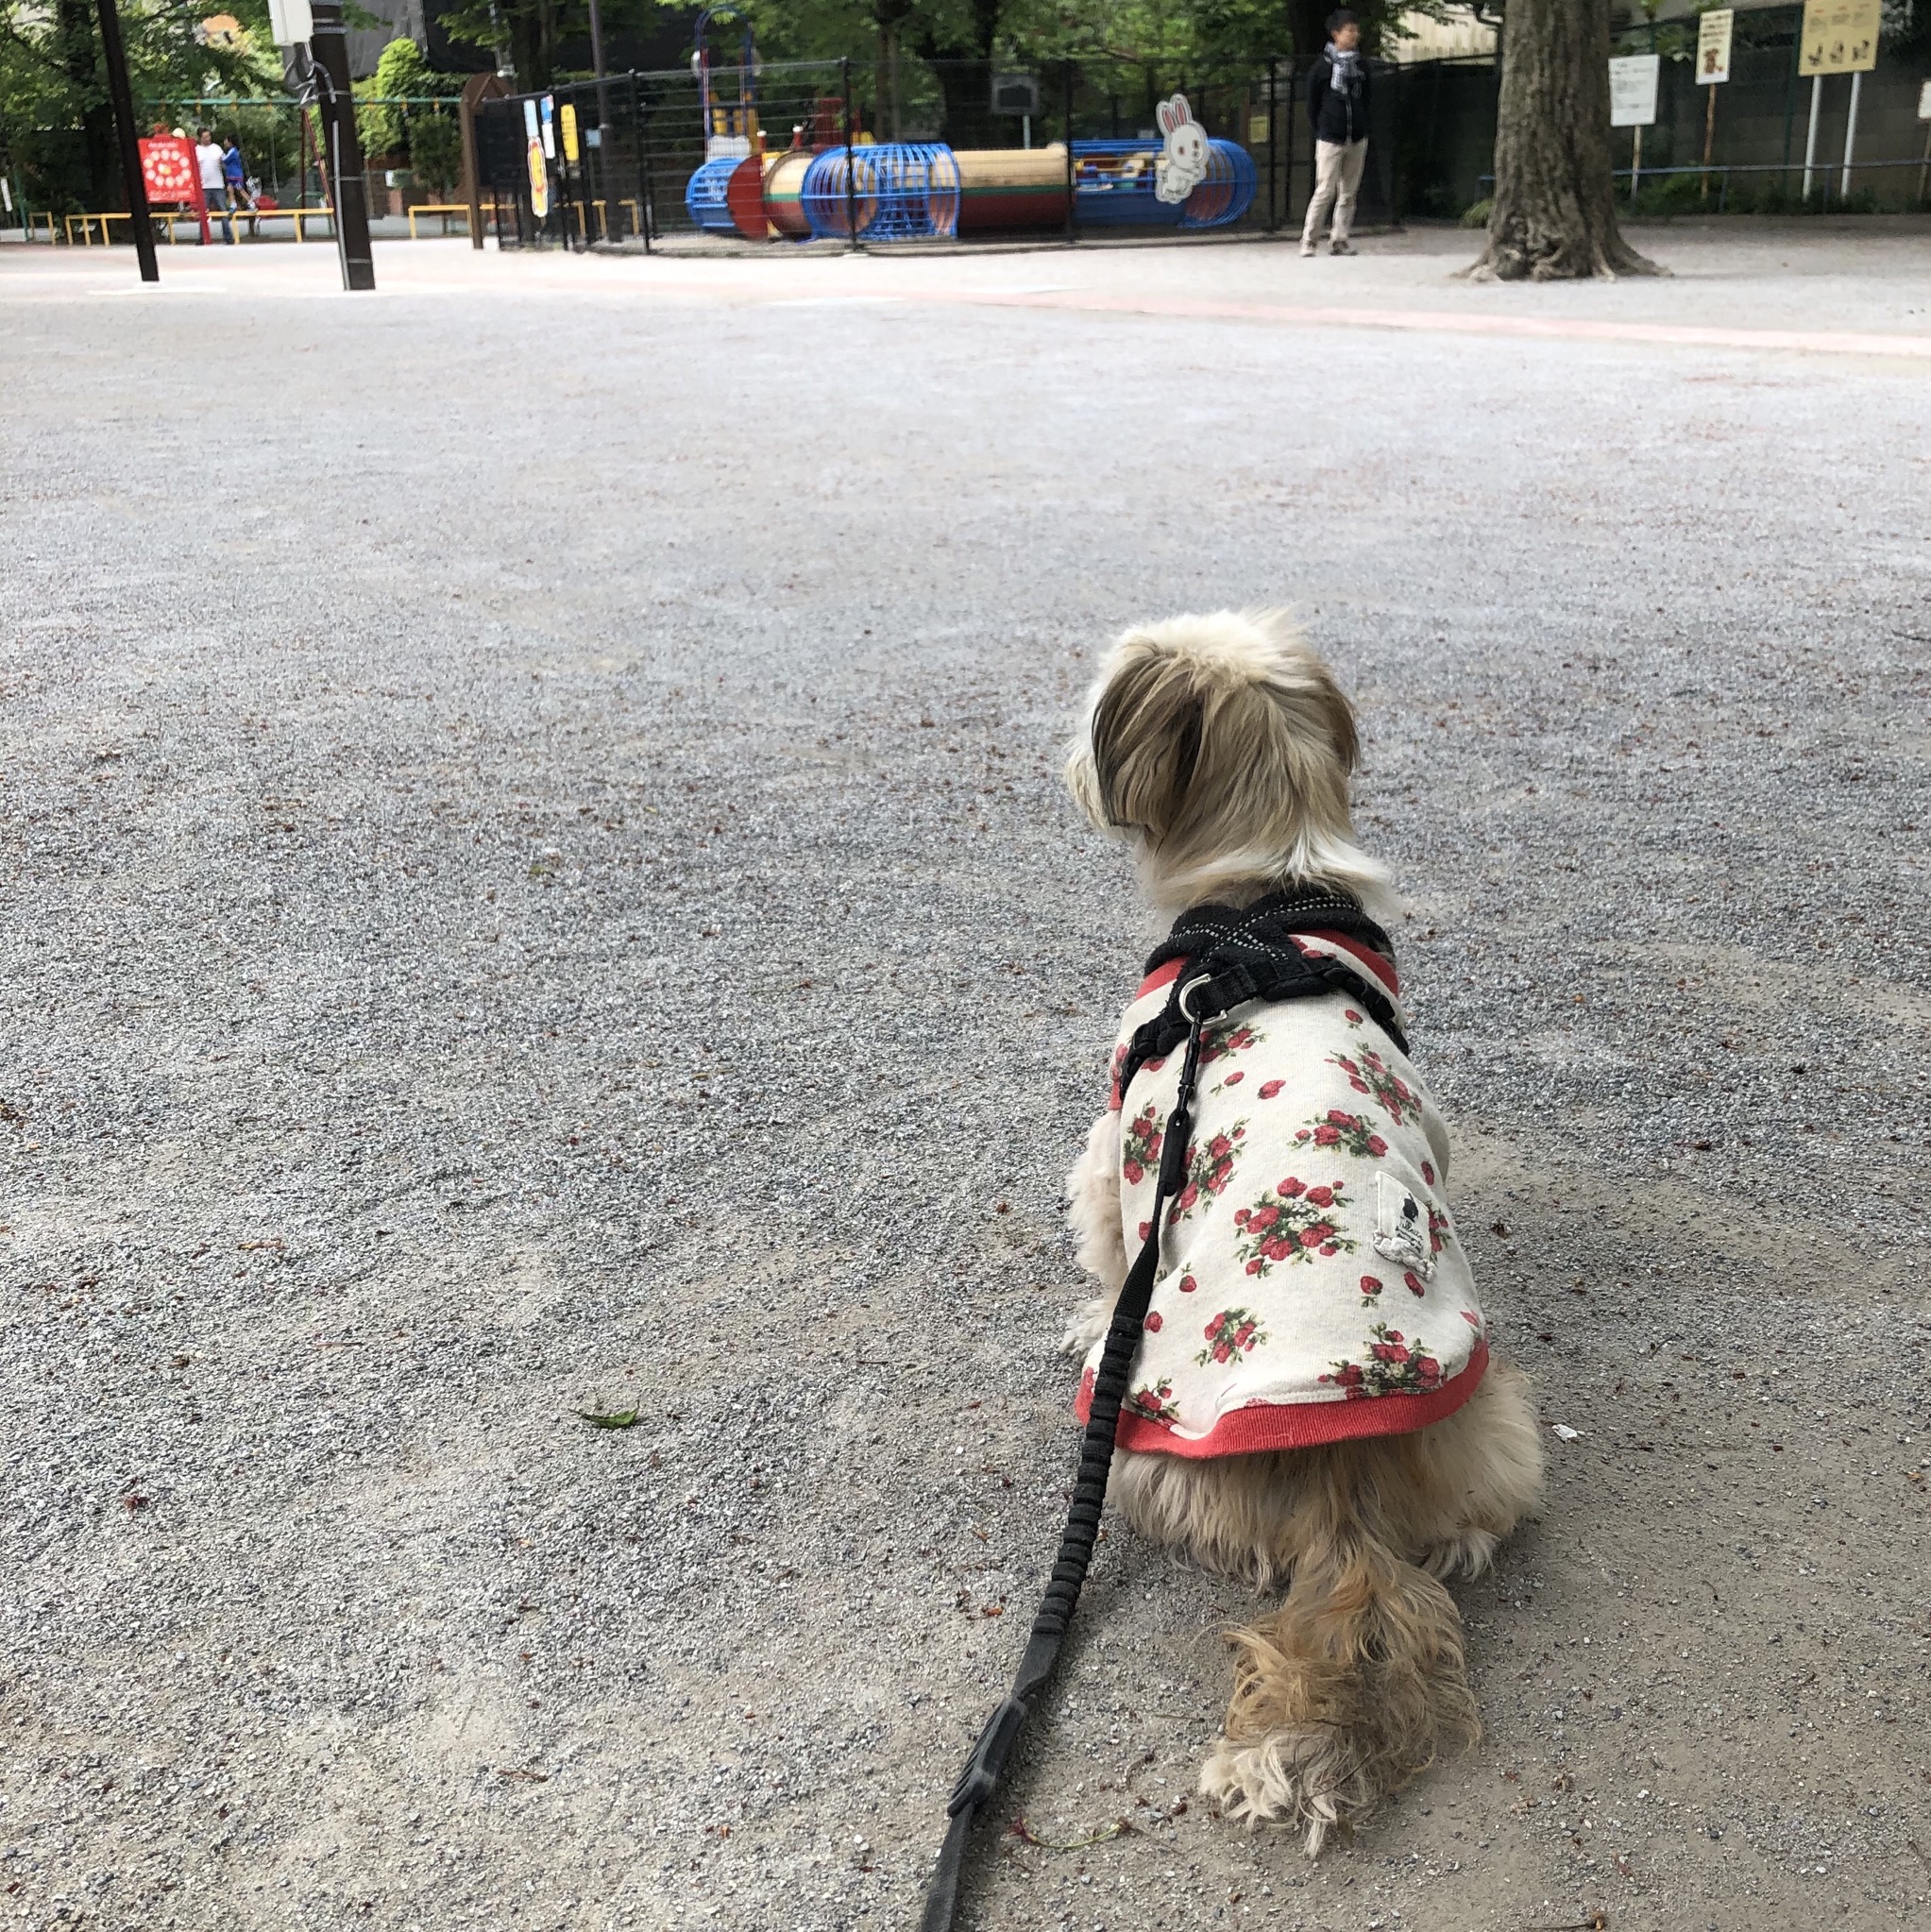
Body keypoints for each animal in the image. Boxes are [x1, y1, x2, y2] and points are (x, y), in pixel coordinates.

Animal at [1061, 610, 1545, 1852]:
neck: (1264, 905)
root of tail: (1342, 1489)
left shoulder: (1115, 1138)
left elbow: (1102, 1240)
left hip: (1135, 1439)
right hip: (1497, 1418)